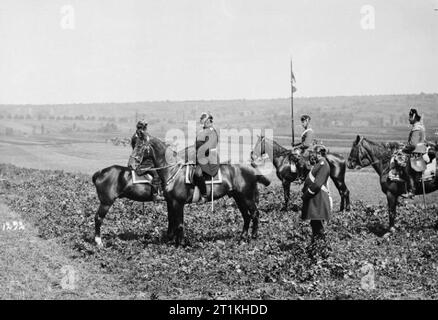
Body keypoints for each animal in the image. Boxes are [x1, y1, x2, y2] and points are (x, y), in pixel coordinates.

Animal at [131, 136, 270, 246]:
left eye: (140, 146)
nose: (132, 165)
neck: (173, 171)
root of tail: (251, 167)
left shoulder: (178, 203)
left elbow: (179, 223)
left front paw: (181, 243)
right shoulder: (170, 202)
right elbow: (172, 221)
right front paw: (171, 239)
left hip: (247, 197)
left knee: (255, 214)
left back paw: (253, 236)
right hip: (238, 197)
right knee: (246, 216)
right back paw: (242, 237)